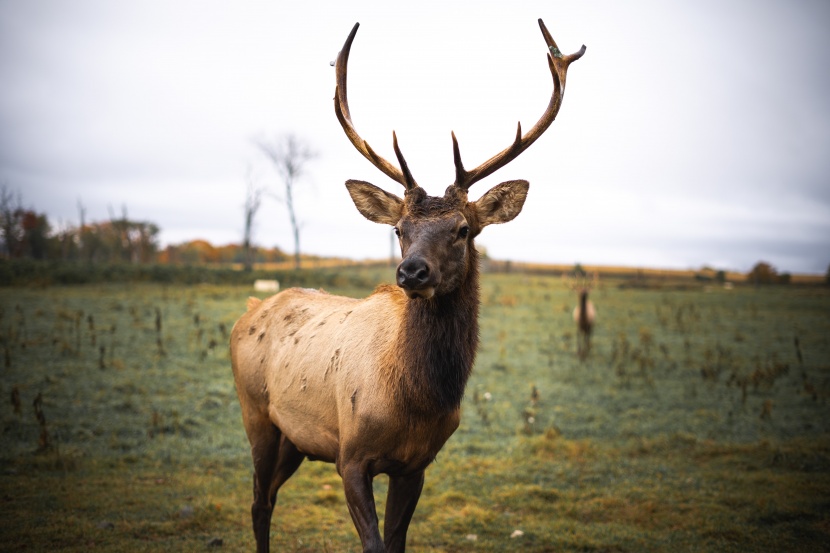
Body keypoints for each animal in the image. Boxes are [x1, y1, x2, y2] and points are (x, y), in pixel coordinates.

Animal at [231, 20, 588, 552]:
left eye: (463, 229)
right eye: (399, 229)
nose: (412, 273)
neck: (412, 402)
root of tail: (250, 308)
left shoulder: (417, 465)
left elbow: (397, 541)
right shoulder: (350, 456)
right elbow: (374, 543)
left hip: (295, 437)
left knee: (266, 497)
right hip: (256, 414)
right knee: (258, 502)